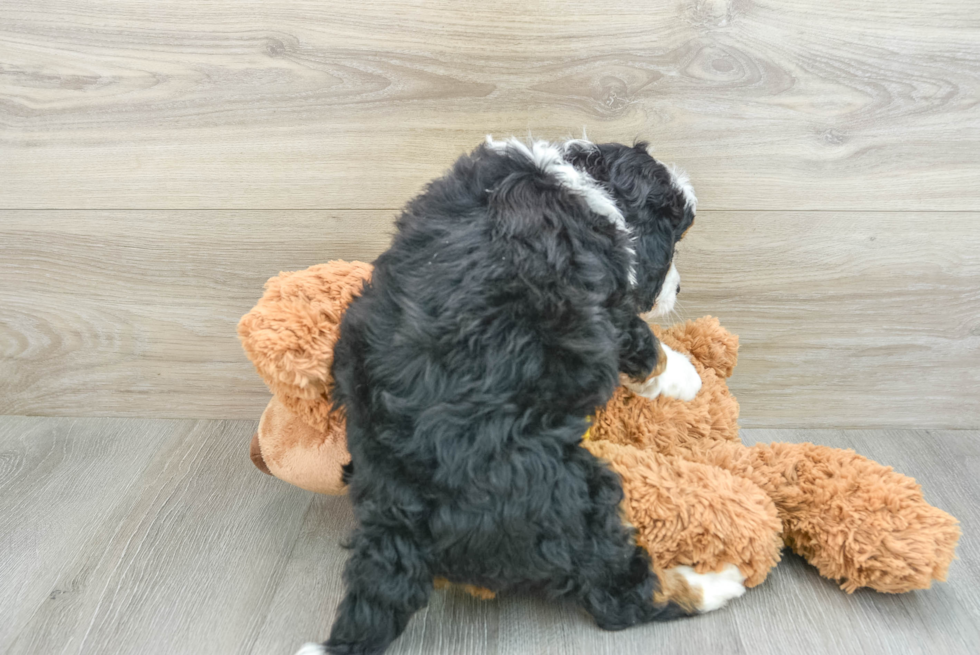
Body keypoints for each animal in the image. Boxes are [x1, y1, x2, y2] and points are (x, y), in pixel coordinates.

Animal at [302, 138, 732, 655]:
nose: (680, 287)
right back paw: (714, 582)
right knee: (619, 595)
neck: (581, 185)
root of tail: (400, 524)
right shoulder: (609, 309)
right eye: (674, 241)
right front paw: (687, 378)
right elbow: (645, 345)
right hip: (575, 499)